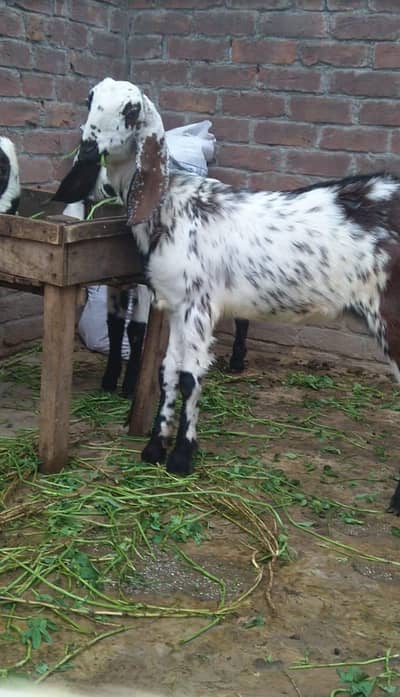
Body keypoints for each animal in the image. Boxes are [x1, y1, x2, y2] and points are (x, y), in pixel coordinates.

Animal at [53, 77, 400, 514]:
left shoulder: (200, 305)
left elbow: (189, 377)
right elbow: (167, 372)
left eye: (131, 110)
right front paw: (153, 449)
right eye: (90, 99)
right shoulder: (175, 305)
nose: (87, 147)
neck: (174, 204)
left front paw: (181, 458)